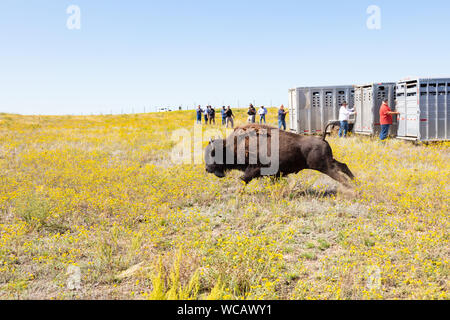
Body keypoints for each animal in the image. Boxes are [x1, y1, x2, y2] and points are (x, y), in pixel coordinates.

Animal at [204, 122, 356, 188]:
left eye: (213, 154)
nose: (207, 169)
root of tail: (322, 138)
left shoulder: (254, 169)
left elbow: (243, 179)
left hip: (324, 167)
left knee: (341, 177)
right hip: (330, 162)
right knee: (343, 167)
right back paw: (356, 183)